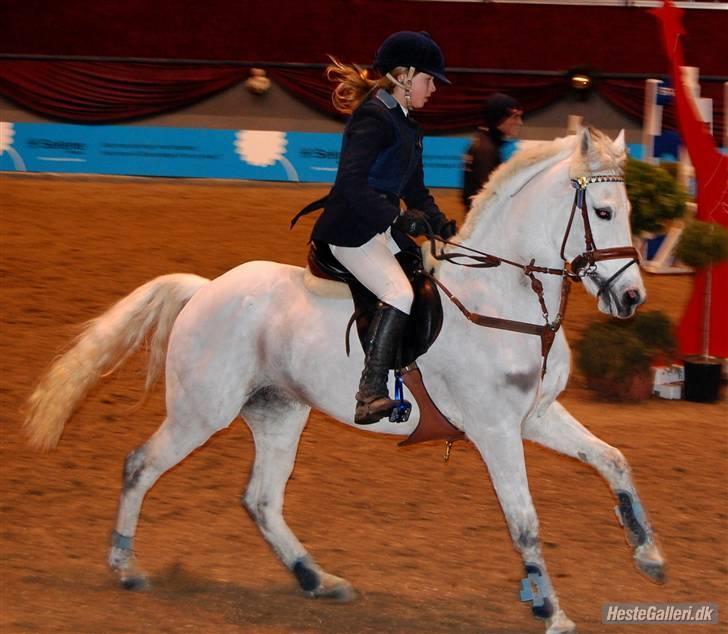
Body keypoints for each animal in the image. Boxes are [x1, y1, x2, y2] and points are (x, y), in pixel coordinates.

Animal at [25, 128, 664, 632]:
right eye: (604, 213)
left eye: (630, 212)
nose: (632, 299)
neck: (500, 300)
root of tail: (205, 289)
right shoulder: (495, 431)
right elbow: (525, 521)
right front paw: (552, 611)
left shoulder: (535, 416)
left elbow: (613, 460)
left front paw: (649, 555)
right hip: (200, 414)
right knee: (140, 465)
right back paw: (126, 568)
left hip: (279, 412)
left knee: (261, 499)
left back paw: (317, 579)